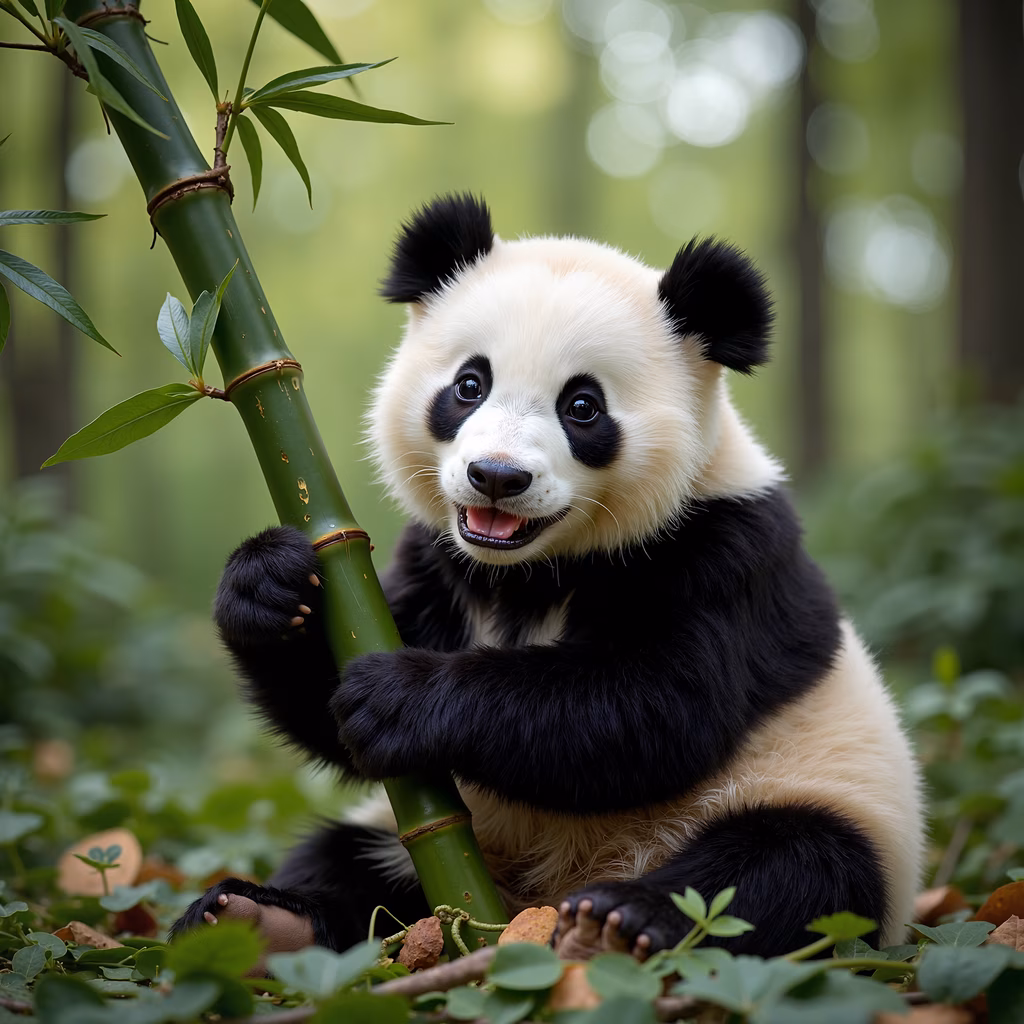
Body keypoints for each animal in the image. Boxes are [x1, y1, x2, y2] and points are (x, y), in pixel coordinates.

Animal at [173, 193, 923, 959]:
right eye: (469, 385)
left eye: (582, 406)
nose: (497, 476)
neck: (527, 567)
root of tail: (526, 900)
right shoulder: (438, 559)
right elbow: (328, 713)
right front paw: (269, 586)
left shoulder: (724, 551)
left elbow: (654, 708)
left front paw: (397, 696)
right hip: (425, 845)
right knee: (344, 862)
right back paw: (259, 918)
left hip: (818, 801)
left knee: (782, 870)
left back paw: (625, 920)